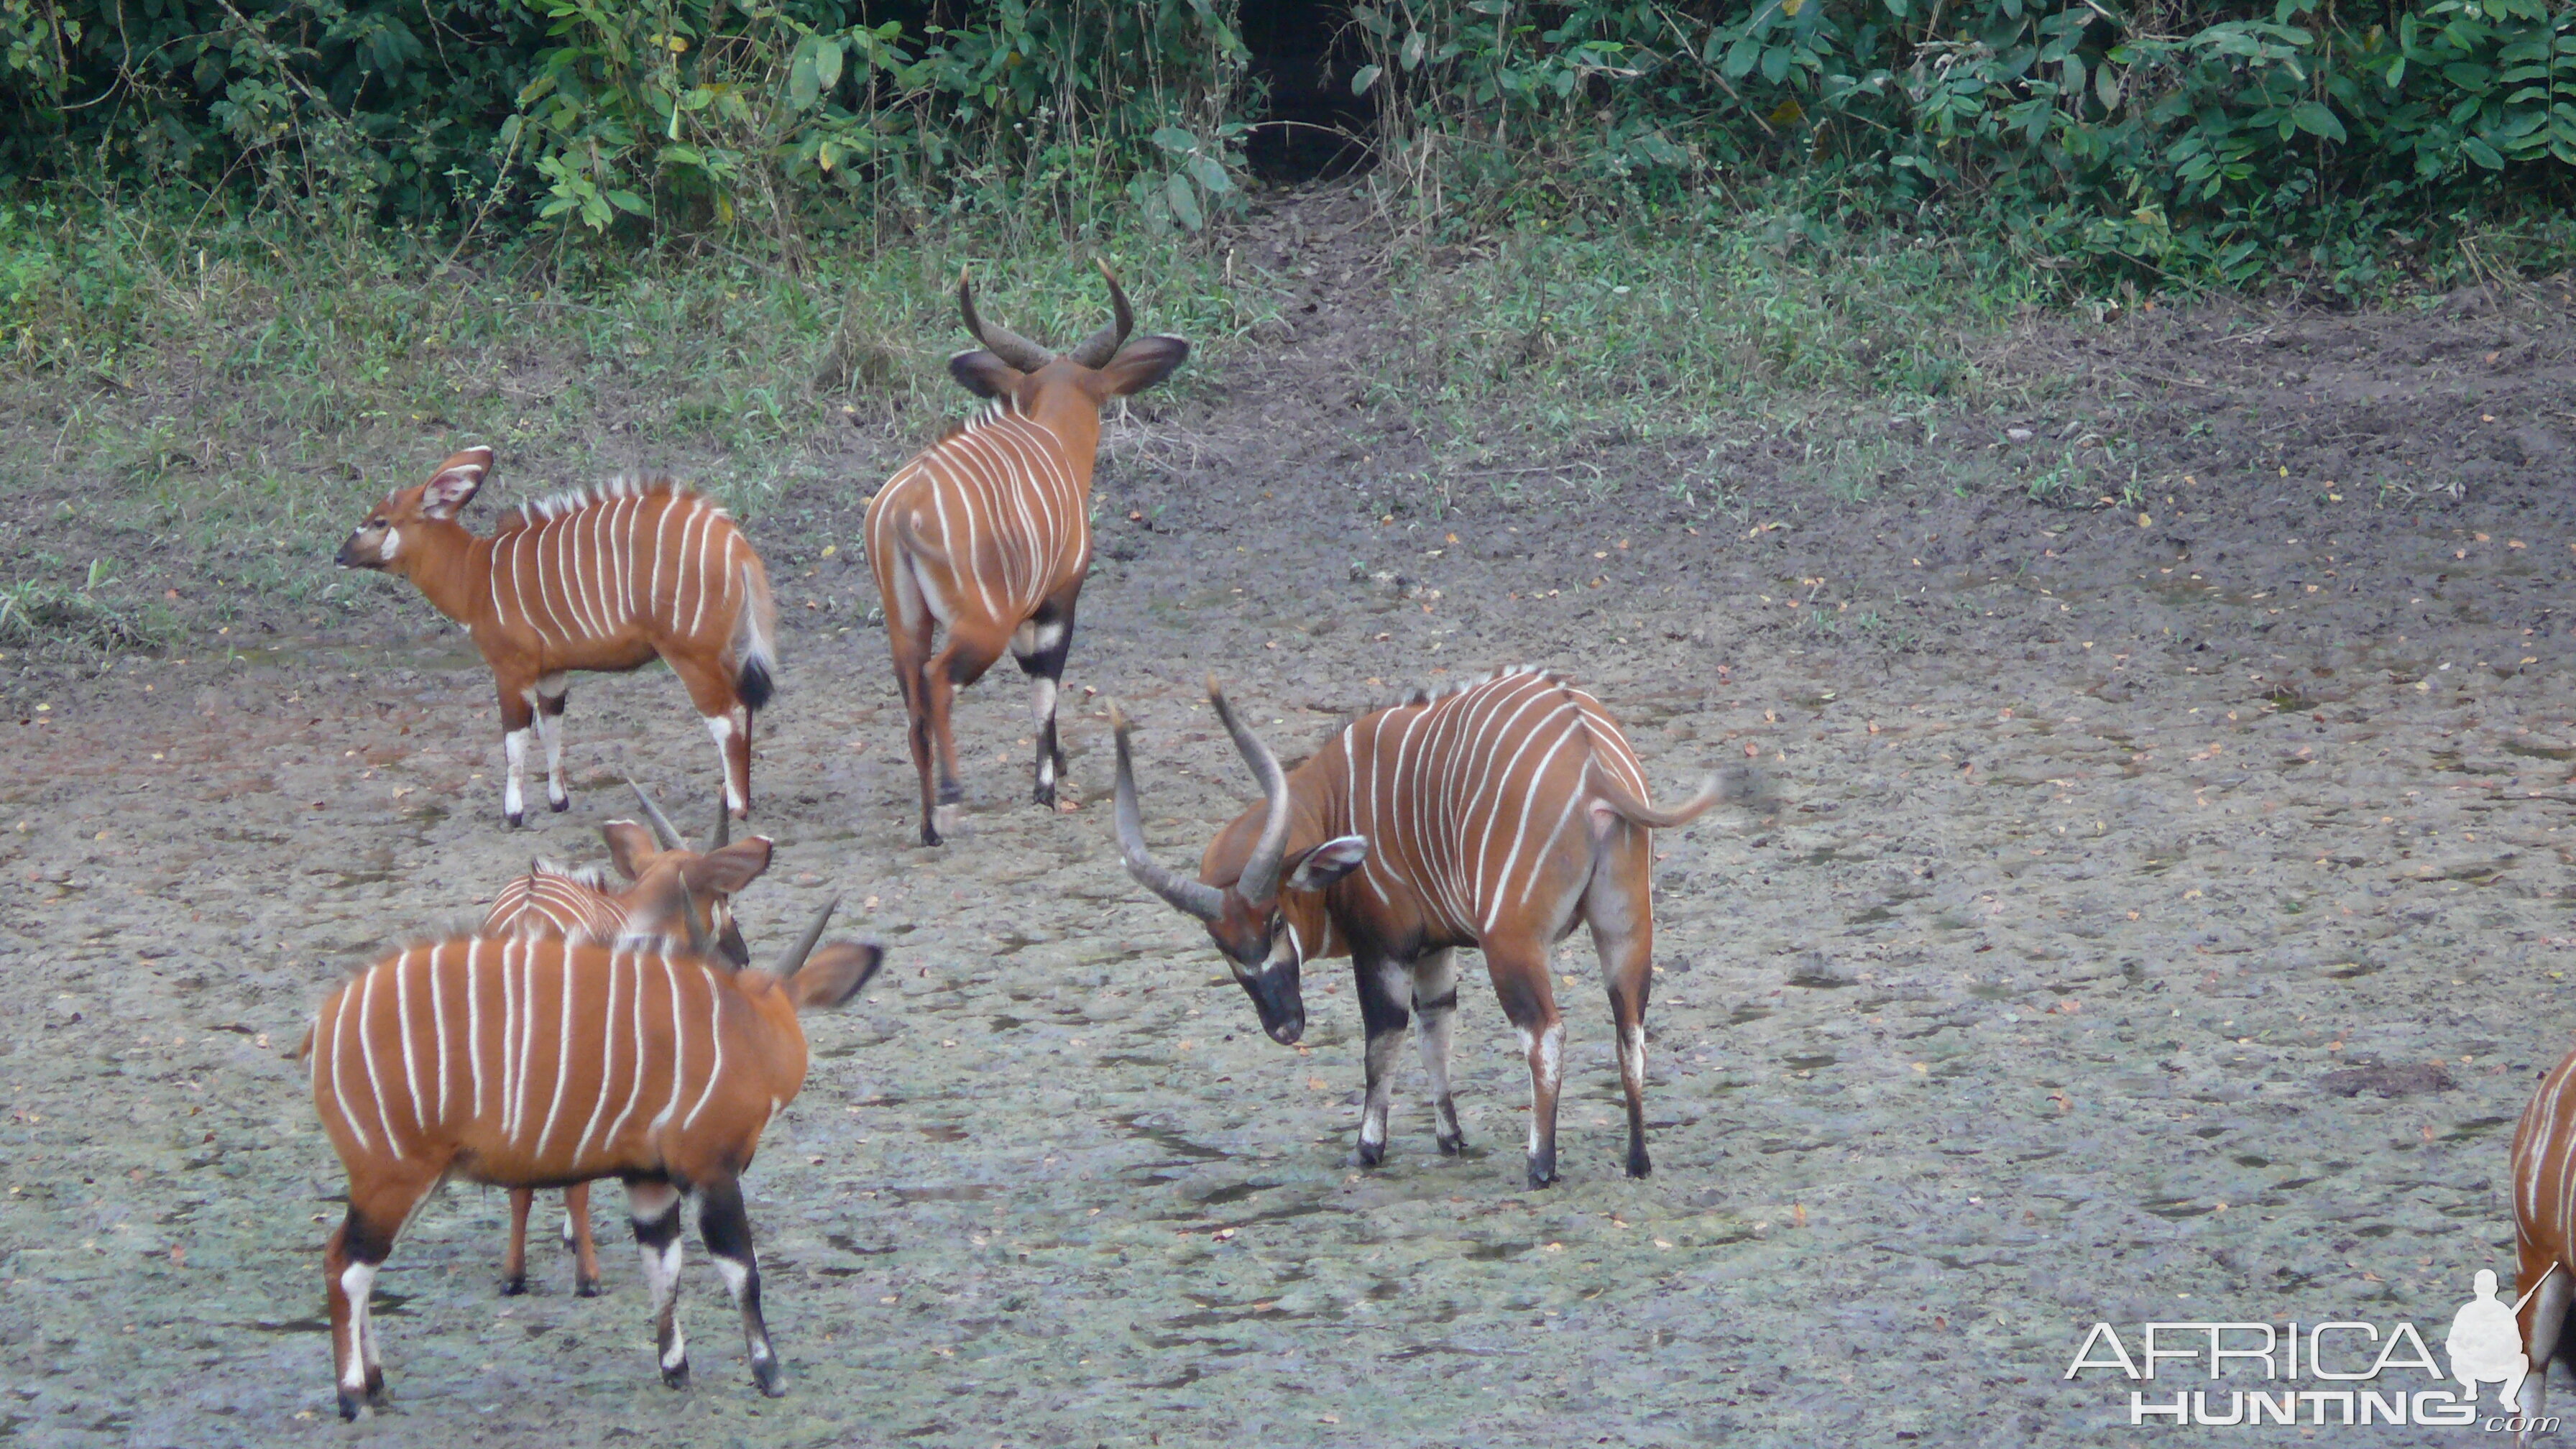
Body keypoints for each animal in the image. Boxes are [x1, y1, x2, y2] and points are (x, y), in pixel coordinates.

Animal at [303, 902, 875, 1412]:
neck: (748, 1024)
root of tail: (326, 1021)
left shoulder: (649, 1180)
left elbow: (663, 1267)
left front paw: (676, 1370)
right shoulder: (710, 1171)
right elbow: (742, 1271)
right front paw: (770, 1374)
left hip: (410, 1182)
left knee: (348, 1262)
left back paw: (377, 1384)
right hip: (393, 1179)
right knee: (347, 1267)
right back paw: (352, 1397)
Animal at [342, 441, 783, 824]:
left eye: (379, 521)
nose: (340, 555)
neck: (475, 574)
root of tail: (737, 546)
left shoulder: (511, 669)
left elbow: (515, 738)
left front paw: (513, 814)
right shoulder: (552, 672)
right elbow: (551, 728)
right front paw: (558, 802)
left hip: (690, 653)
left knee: (727, 717)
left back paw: (736, 808)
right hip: (723, 651)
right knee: (745, 707)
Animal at [865, 265, 1184, 840]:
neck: (1054, 439)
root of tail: (901, 511)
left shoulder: (1025, 612)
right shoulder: (1057, 598)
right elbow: (1045, 685)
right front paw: (1045, 789)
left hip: (907, 624)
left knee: (913, 703)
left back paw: (928, 828)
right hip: (979, 625)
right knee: (938, 682)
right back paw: (951, 799)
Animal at [1108, 665, 1710, 1186]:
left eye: (1276, 921)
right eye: (1221, 943)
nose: (1285, 1027)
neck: (1336, 798)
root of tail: (1589, 758)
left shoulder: (1386, 949)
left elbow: (1383, 1042)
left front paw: (1367, 1148)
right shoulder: (1433, 952)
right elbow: (1435, 1034)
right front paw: (1451, 1137)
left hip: (1511, 944)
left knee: (1545, 1033)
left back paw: (1540, 1165)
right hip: (1623, 933)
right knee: (1629, 1028)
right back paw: (1637, 1160)